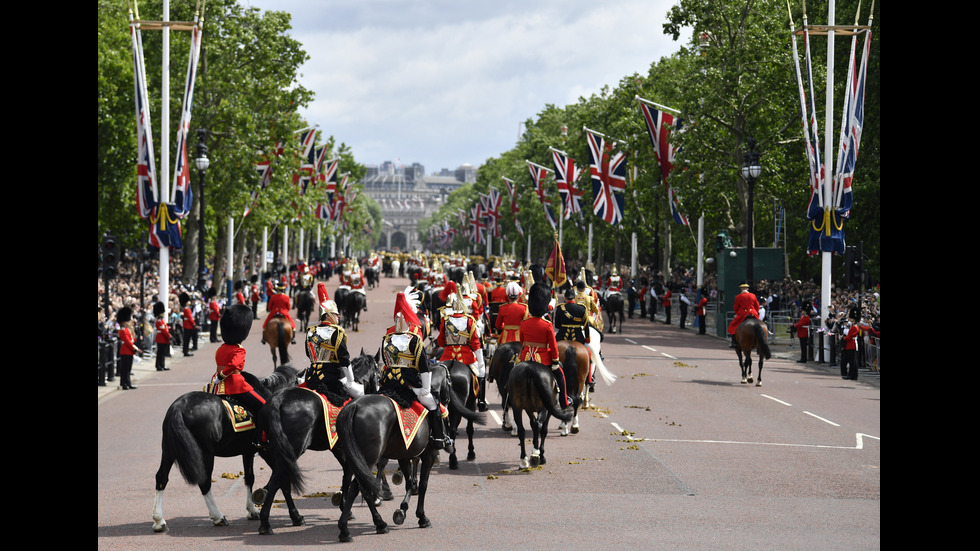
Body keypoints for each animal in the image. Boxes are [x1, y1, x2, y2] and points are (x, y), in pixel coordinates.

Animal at [150, 364, 298, 532]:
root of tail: (179, 406)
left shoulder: (247, 451)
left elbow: (249, 477)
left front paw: (252, 510)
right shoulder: (268, 450)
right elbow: (283, 479)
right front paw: (295, 516)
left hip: (168, 451)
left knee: (161, 478)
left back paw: (159, 521)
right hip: (206, 454)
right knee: (204, 482)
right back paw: (218, 517)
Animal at [256, 352, 378, 536]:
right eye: (378, 371)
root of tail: (278, 399)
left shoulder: (338, 448)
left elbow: (346, 475)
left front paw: (345, 507)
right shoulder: (349, 449)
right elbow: (348, 475)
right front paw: (347, 509)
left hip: (279, 451)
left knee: (281, 480)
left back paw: (294, 516)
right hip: (293, 449)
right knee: (278, 479)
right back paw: (266, 522)